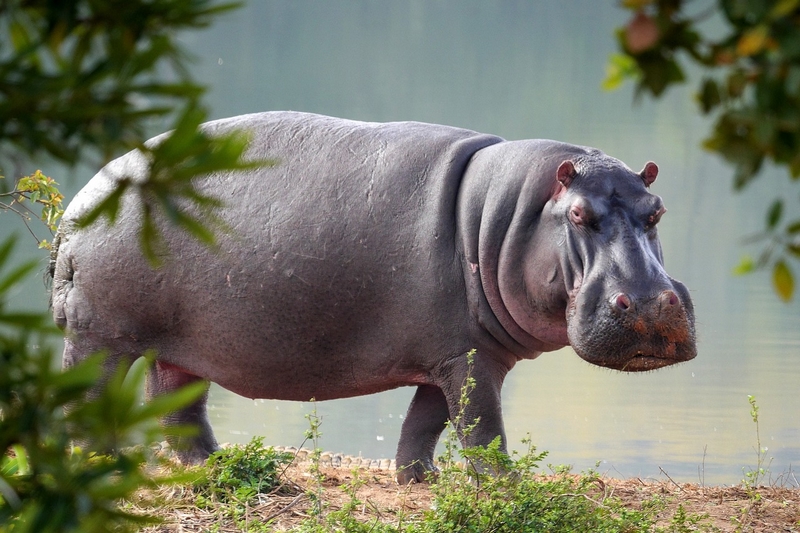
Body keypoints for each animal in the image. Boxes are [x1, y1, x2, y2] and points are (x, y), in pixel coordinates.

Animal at [51, 112, 696, 484]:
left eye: (658, 210)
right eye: (580, 215)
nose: (649, 305)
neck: (510, 215)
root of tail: (81, 200)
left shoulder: (458, 352)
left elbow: (426, 423)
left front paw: (420, 482)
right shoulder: (467, 358)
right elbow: (482, 428)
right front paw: (506, 489)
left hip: (179, 348)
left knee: (178, 408)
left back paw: (214, 467)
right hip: (99, 336)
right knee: (87, 399)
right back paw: (97, 463)